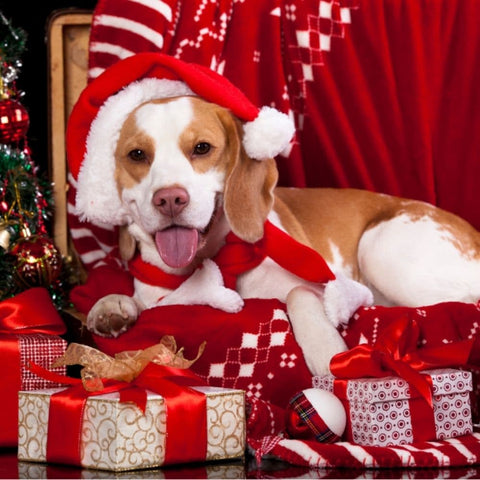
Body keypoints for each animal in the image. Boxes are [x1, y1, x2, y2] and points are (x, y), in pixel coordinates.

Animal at [83, 95, 480, 376]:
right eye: (137, 155)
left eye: (201, 148)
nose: (169, 199)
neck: (218, 261)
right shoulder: (161, 299)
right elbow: (132, 302)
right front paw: (112, 307)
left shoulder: (321, 282)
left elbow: (298, 294)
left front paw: (326, 349)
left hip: (380, 248)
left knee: (457, 303)